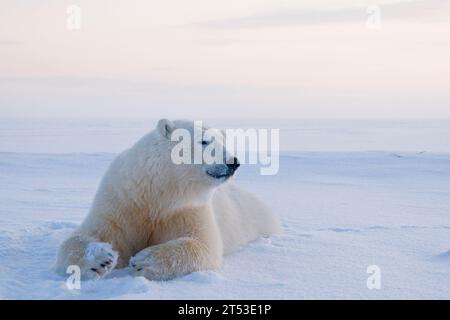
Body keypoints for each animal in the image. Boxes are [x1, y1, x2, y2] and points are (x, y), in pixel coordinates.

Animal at [55, 119, 282, 280]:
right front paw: (100, 259)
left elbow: (203, 244)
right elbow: (91, 233)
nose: (233, 162)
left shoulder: (186, 208)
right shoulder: (123, 199)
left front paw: (144, 261)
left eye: (224, 141)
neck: (158, 192)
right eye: (204, 141)